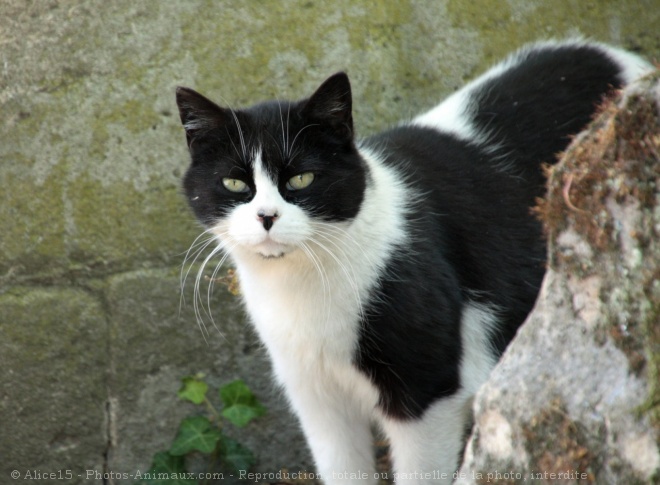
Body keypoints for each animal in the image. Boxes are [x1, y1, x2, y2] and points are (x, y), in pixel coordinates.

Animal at [174, 39, 648, 482]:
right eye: (235, 183)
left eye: (302, 179)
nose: (267, 216)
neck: (303, 286)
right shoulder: (317, 400)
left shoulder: (428, 395)